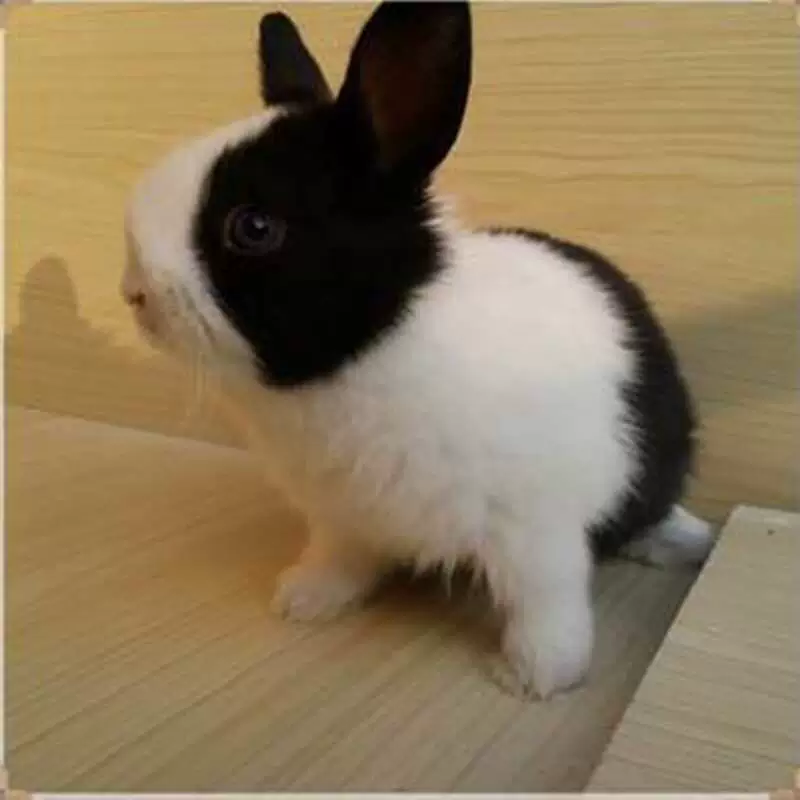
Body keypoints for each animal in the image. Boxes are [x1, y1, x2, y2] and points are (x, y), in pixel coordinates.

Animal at [122, 0, 714, 699]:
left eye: (254, 227)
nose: (133, 294)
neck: (369, 354)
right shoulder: (343, 518)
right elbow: (340, 560)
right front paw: (303, 601)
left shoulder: (537, 529)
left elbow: (545, 602)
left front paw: (536, 677)